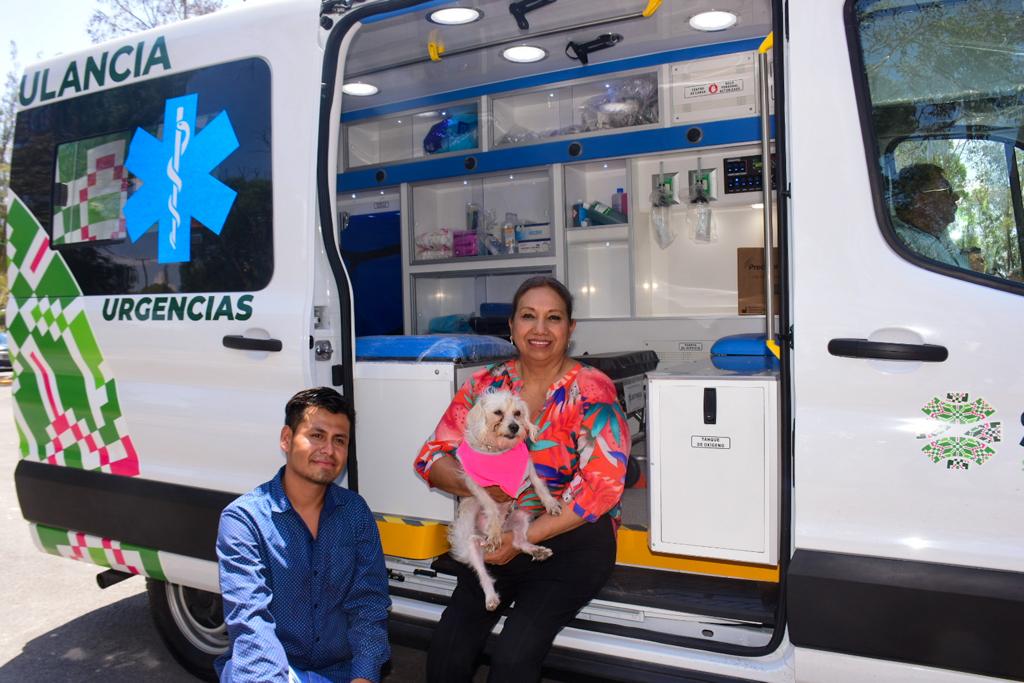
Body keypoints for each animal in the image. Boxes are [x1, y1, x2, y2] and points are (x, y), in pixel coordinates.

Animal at [448, 390, 562, 610]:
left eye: (517, 413)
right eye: (498, 412)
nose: (515, 427)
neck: (499, 452)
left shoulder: (528, 469)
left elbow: (539, 484)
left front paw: (550, 503)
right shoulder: (476, 485)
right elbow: (491, 506)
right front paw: (494, 531)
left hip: (520, 517)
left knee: (518, 541)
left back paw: (537, 551)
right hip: (473, 545)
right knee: (483, 575)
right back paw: (491, 597)